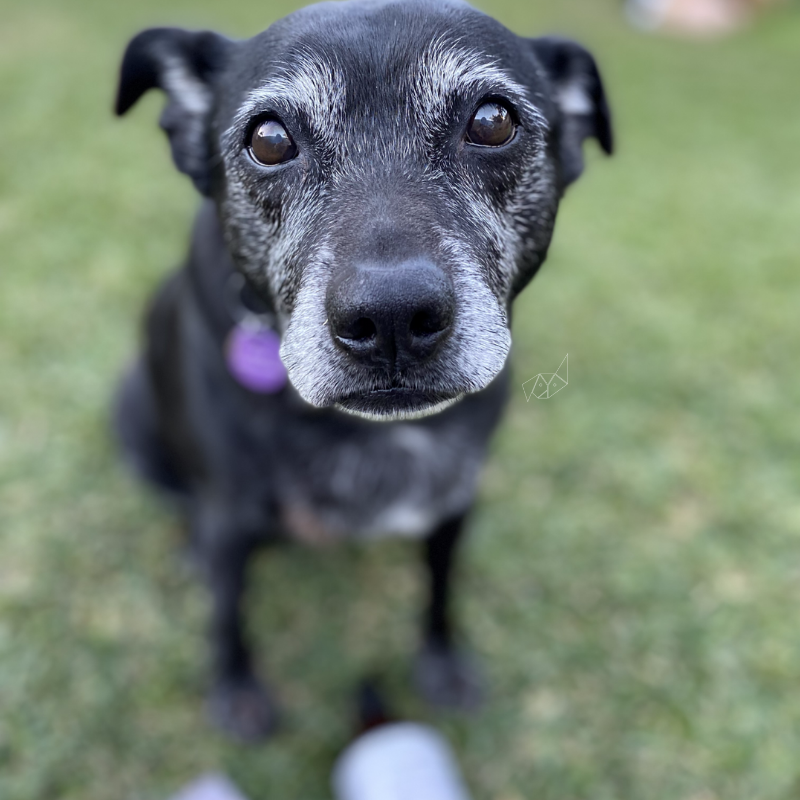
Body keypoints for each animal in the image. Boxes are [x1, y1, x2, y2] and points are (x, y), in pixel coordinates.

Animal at [112, 0, 612, 740]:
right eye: (268, 139)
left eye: (493, 121)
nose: (393, 318)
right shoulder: (231, 515)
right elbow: (229, 618)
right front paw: (237, 690)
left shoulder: (453, 499)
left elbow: (440, 590)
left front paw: (442, 662)